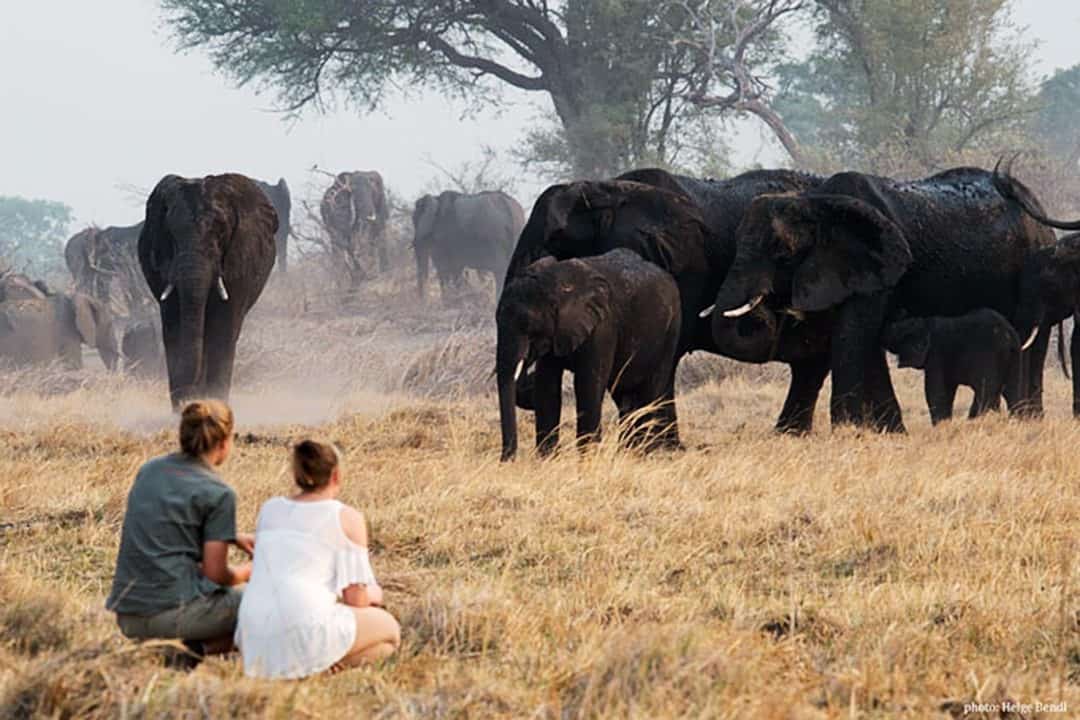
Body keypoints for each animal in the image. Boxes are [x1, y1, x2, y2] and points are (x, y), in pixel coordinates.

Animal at [138, 173, 277, 409]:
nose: (190, 396)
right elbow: (174, 327)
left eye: (221, 233)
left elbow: (223, 326)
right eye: (172, 234)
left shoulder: (240, 259)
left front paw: (215, 403)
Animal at [497, 248, 681, 461]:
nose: (506, 461)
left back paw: (645, 452)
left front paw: (587, 459)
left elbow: (587, 384)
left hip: (671, 330)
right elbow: (547, 386)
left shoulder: (602, 327)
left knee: (652, 389)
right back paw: (628, 452)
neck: (558, 282)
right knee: (624, 395)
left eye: (528, 324)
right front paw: (547, 459)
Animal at [883, 309, 1021, 424]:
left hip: (988, 354)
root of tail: (1008, 334)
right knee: (1012, 391)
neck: (924, 323)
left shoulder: (936, 355)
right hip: (1014, 356)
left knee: (986, 392)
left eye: (898, 332)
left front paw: (941, 425)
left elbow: (935, 392)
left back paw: (973, 421)